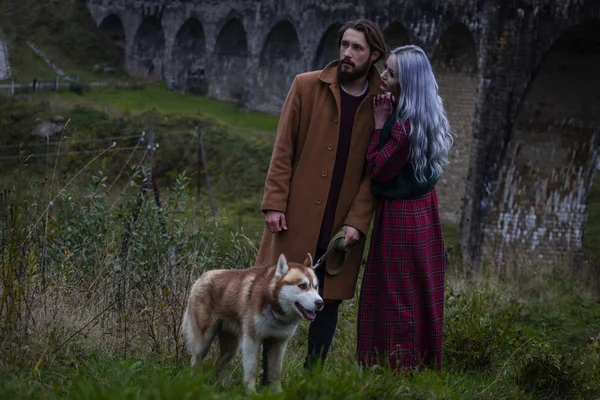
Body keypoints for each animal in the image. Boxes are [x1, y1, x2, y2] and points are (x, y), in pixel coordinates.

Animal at [182, 253, 324, 390]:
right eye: (302, 286)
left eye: (316, 287)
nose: (320, 303)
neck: (274, 307)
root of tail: (203, 276)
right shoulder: (251, 340)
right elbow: (251, 369)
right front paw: (251, 392)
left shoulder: (279, 342)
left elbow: (276, 372)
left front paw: (277, 392)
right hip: (203, 341)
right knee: (195, 360)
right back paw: (194, 383)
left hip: (231, 346)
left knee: (219, 363)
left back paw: (222, 387)